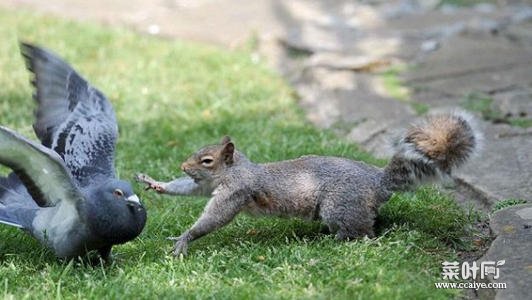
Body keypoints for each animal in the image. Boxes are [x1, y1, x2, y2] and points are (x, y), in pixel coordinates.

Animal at [137, 111, 482, 256]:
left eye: (207, 160)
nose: (183, 166)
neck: (234, 169)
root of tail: (378, 181)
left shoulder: (236, 190)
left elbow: (215, 217)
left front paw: (185, 239)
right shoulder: (207, 187)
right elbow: (188, 188)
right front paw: (155, 183)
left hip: (340, 205)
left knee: (364, 232)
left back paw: (338, 240)